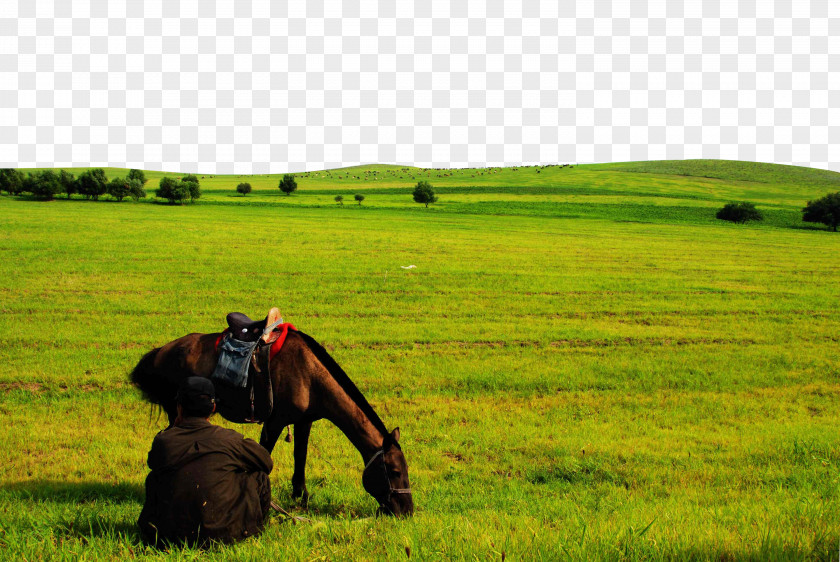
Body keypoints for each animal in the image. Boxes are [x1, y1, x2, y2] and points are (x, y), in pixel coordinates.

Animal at [130, 328, 414, 516]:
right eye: (395, 472)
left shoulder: (304, 421)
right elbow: (263, 454)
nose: (407, 510)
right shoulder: (275, 422)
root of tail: (160, 352)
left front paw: (301, 497)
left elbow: (300, 455)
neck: (310, 374)